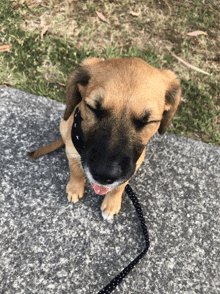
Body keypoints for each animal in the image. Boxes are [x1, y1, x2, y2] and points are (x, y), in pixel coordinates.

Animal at [27, 56, 181, 218]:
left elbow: (119, 186)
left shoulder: (134, 166)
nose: (104, 175)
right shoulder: (72, 152)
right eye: (93, 108)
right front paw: (75, 189)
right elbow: (76, 171)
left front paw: (112, 203)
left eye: (148, 122)